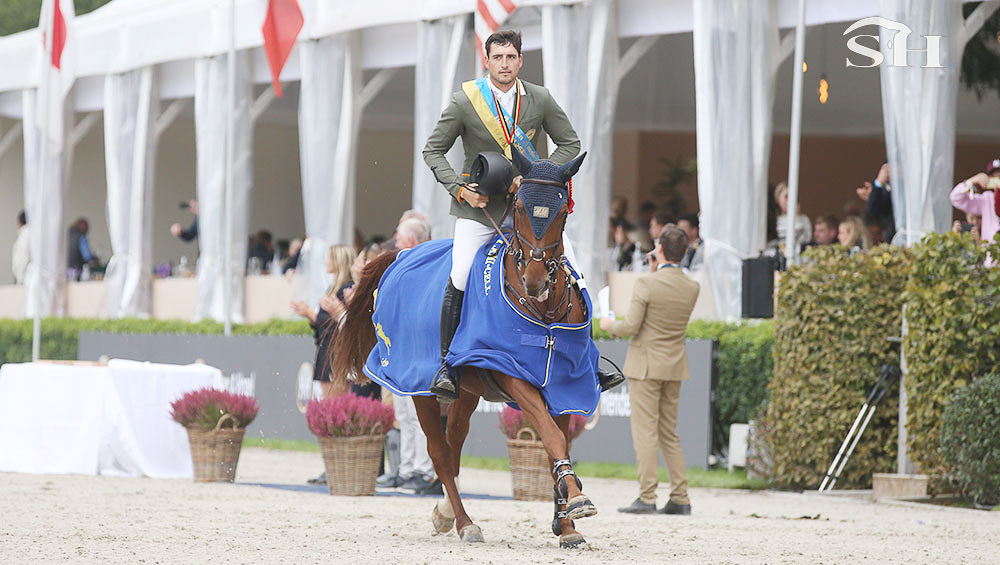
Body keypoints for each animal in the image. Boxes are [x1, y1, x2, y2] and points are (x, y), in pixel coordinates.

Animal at [332, 150, 596, 548]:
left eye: (562, 210)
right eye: (519, 206)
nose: (534, 281)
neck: (544, 312)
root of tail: (401, 255)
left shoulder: (567, 384)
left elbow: (559, 444)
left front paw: (565, 524)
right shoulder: (514, 375)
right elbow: (551, 437)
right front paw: (578, 501)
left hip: (468, 390)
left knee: (454, 445)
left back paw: (444, 512)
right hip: (419, 387)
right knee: (440, 453)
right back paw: (463, 521)